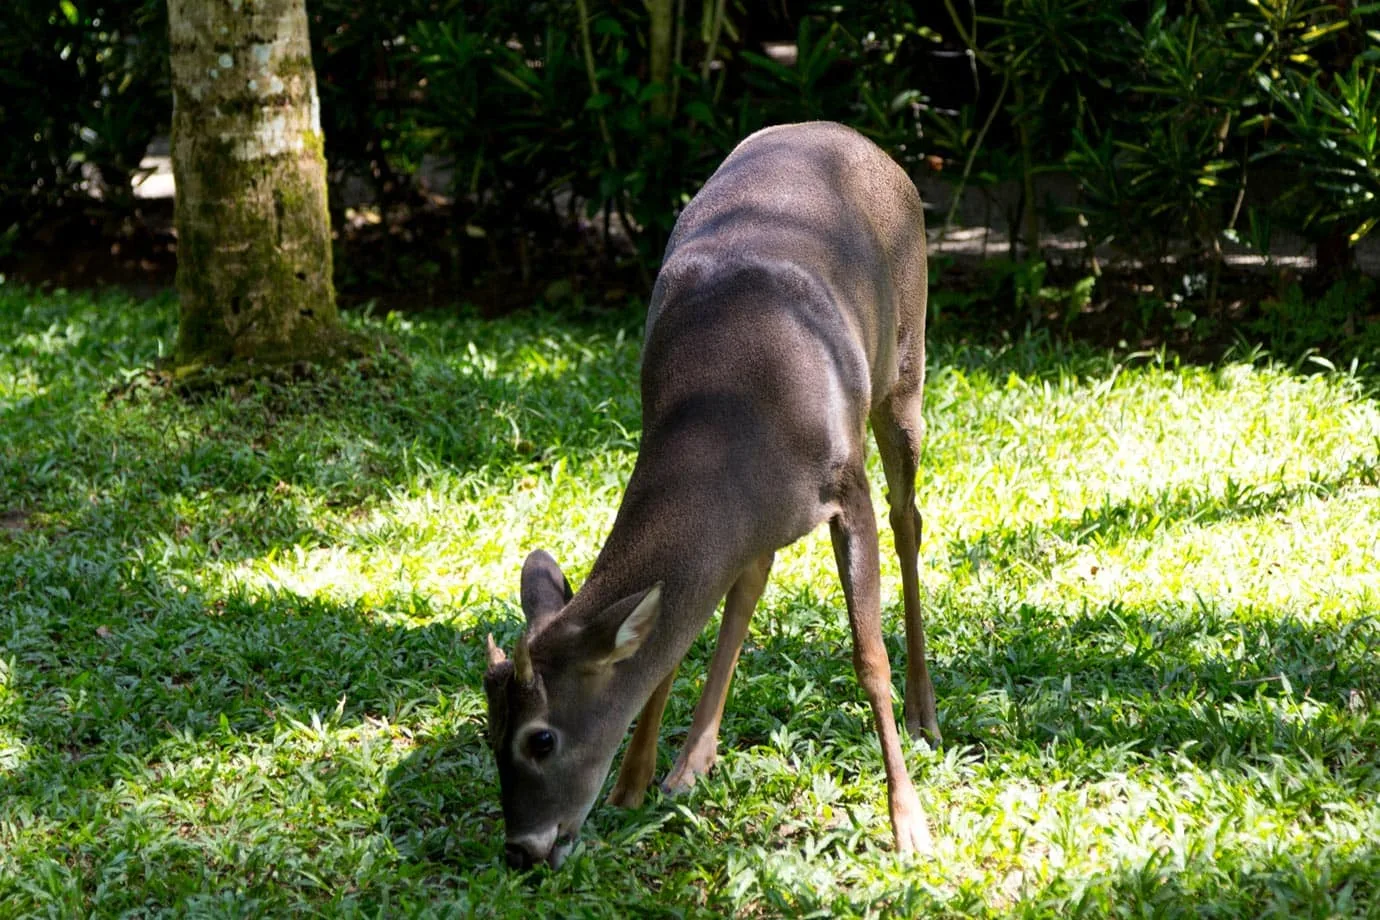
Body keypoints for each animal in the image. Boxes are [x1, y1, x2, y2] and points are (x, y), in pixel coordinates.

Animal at [483, 122, 938, 871]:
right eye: (489, 728)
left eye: (540, 738)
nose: (522, 848)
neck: (730, 407)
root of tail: (857, 137)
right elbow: (681, 635)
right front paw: (633, 782)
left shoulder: (847, 486)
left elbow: (867, 658)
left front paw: (909, 825)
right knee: (751, 577)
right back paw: (688, 762)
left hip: (905, 371)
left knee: (911, 520)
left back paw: (925, 713)